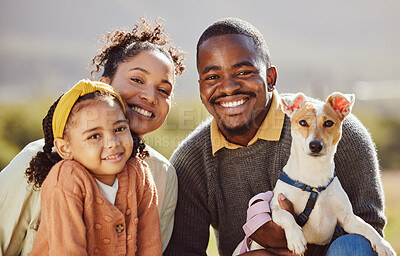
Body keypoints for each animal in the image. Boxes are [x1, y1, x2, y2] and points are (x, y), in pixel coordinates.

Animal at [234, 92, 394, 256]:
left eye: (328, 123)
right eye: (303, 122)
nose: (315, 145)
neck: (313, 176)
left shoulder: (347, 218)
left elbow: (367, 227)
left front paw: (383, 245)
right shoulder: (274, 207)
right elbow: (287, 215)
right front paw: (296, 239)